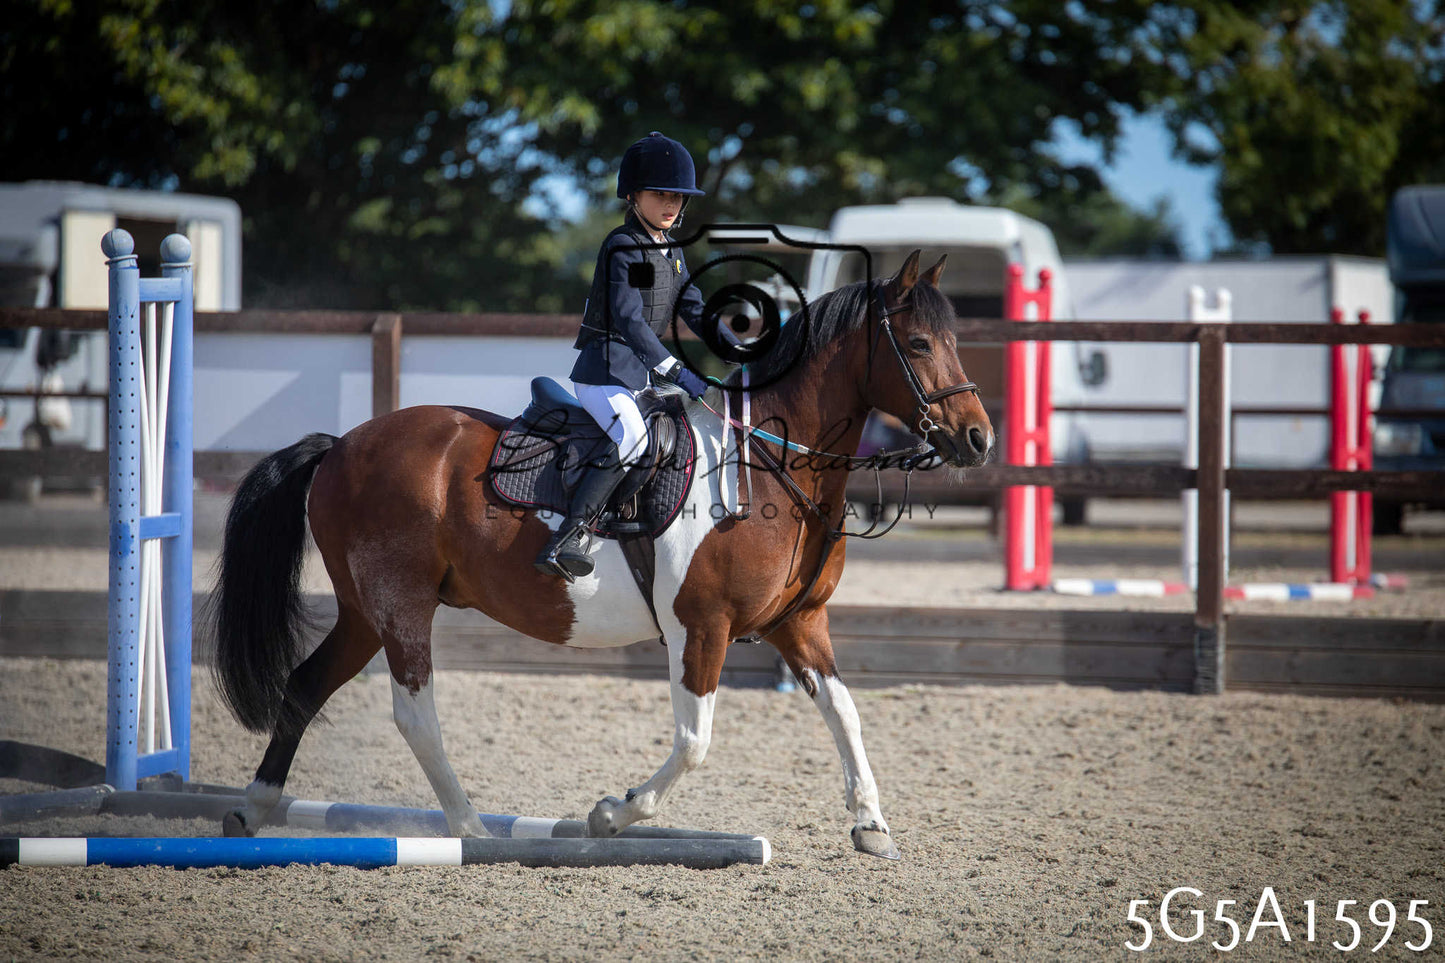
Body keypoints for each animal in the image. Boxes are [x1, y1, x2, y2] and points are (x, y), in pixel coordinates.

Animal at [211, 249, 993, 859]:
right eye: (918, 345)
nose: (979, 439)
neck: (770, 462)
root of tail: (342, 444)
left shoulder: (798, 625)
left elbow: (845, 712)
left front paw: (871, 824)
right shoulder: (700, 626)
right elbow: (694, 740)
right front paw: (609, 815)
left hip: (364, 611)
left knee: (306, 685)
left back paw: (253, 808)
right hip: (400, 605)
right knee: (415, 714)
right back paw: (470, 828)